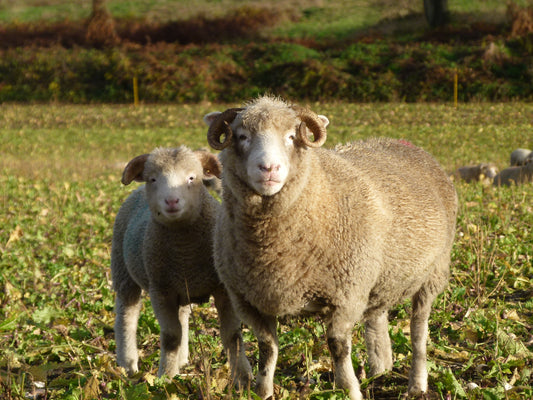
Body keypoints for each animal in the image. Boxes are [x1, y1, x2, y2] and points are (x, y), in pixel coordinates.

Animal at [110, 146, 251, 382]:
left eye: (192, 178)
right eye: (153, 179)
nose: (172, 201)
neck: (185, 251)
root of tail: (135, 192)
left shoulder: (222, 288)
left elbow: (232, 335)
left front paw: (243, 378)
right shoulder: (161, 290)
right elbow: (171, 336)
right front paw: (165, 378)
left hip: (181, 288)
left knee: (183, 316)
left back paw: (182, 360)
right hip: (123, 271)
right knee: (126, 315)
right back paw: (128, 363)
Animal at [203, 95, 458, 398]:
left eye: (291, 136)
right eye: (241, 136)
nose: (269, 169)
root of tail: (404, 144)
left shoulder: (347, 294)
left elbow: (337, 346)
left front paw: (350, 390)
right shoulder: (247, 300)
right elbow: (267, 349)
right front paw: (263, 391)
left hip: (433, 273)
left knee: (419, 331)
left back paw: (417, 384)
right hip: (378, 279)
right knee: (377, 318)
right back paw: (381, 371)